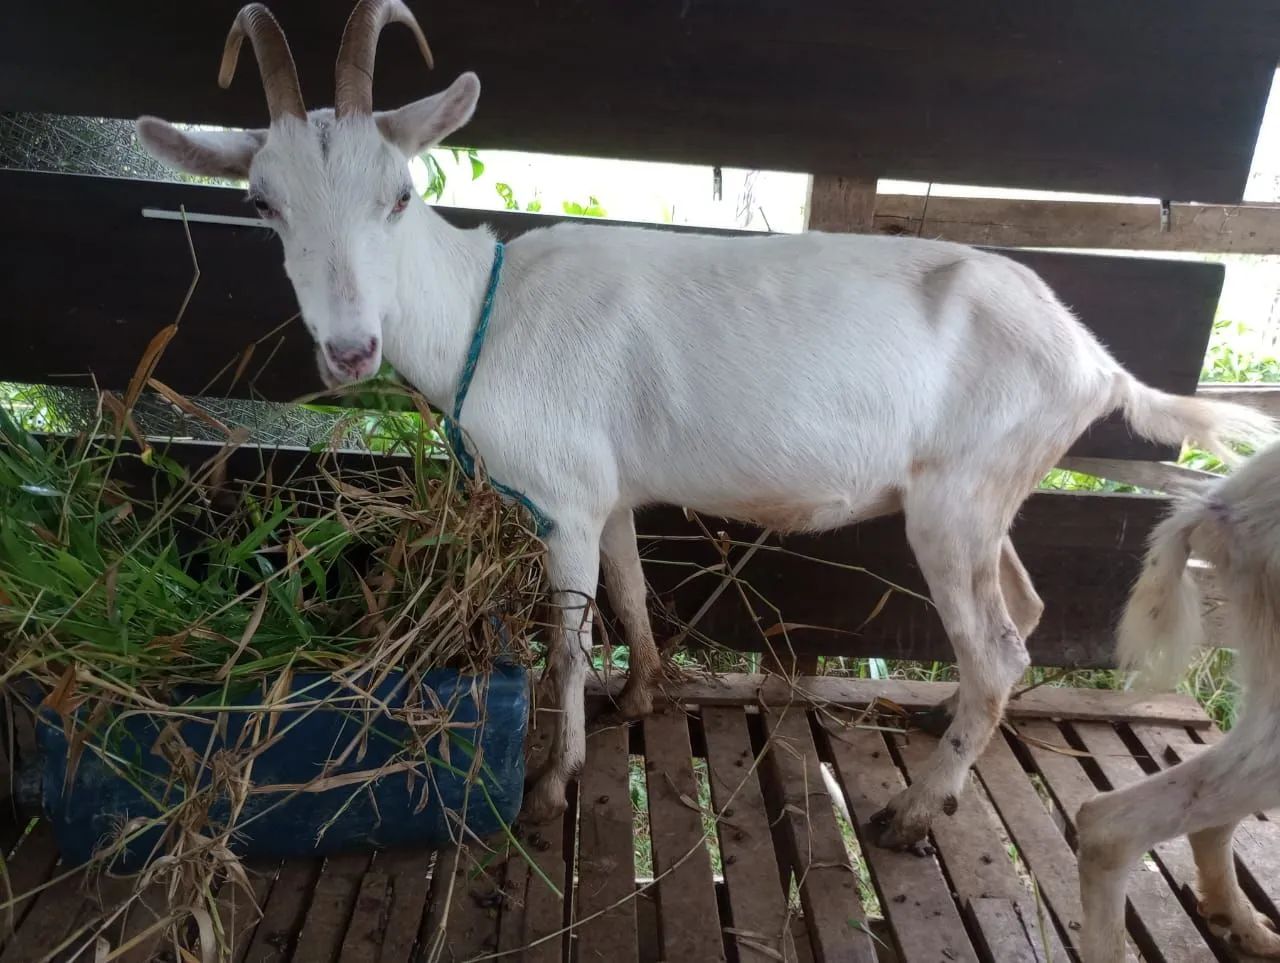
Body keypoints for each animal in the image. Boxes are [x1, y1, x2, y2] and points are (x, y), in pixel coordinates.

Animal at [136, 0, 1275, 845]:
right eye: (263, 203)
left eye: (400, 192)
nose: (350, 350)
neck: (483, 310)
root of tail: (1094, 360)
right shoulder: (607, 492)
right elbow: (633, 593)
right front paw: (643, 694)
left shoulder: (560, 498)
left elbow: (564, 643)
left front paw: (552, 783)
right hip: (988, 494)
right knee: (1024, 615)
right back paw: (942, 744)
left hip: (955, 498)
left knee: (998, 650)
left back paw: (914, 811)